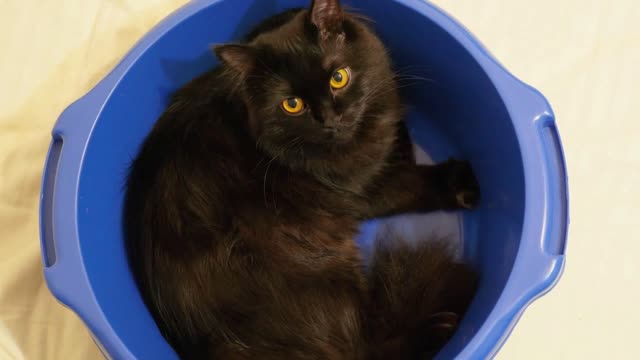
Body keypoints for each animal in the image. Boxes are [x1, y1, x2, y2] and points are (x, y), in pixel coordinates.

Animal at [124, 1, 480, 358]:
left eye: (338, 78)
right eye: (292, 104)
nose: (330, 118)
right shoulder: (361, 191)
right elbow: (410, 183)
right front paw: (461, 185)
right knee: (368, 348)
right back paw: (441, 325)